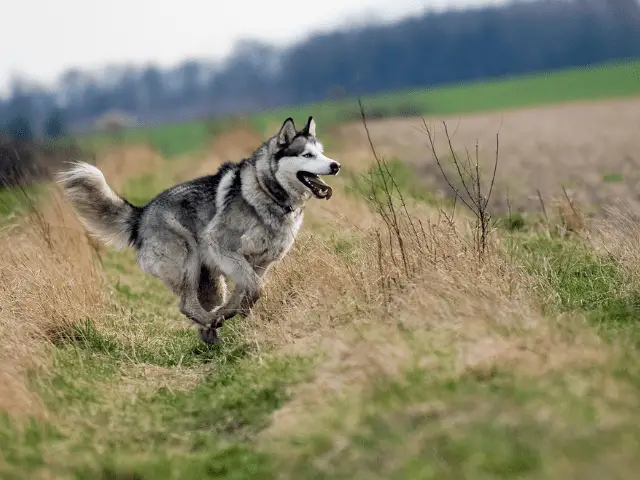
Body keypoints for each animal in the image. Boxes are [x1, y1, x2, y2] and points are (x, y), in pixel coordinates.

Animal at [57, 116, 342, 344]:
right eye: (307, 155)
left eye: (322, 153)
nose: (335, 165)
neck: (267, 192)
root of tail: (142, 213)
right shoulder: (221, 246)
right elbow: (255, 288)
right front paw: (231, 313)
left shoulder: (260, 263)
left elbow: (250, 289)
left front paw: (238, 312)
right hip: (189, 265)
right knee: (187, 305)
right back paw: (211, 322)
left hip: (211, 282)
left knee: (198, 310)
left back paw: (212, 336)